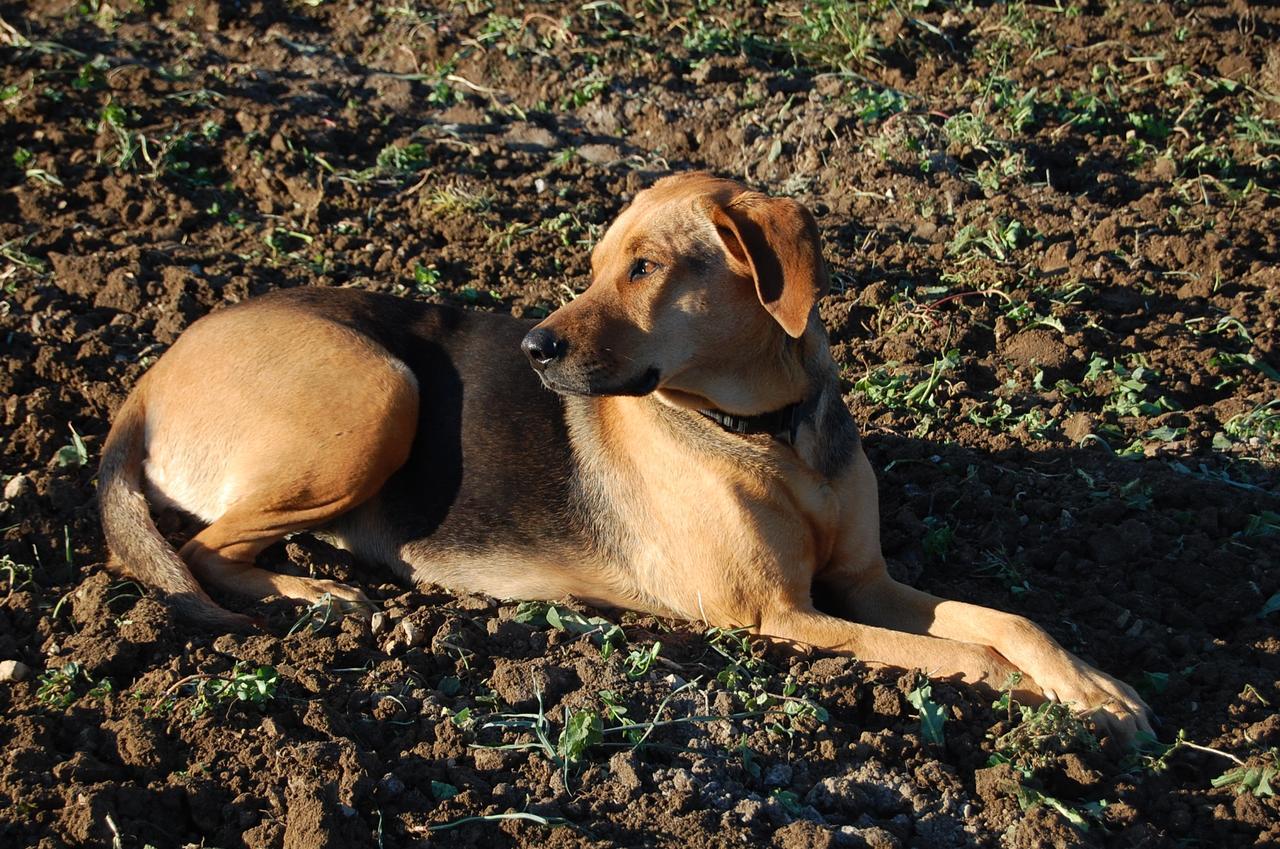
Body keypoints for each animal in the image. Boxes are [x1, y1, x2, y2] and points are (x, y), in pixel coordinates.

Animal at [99, 171, 1152, 737]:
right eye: (600, 264)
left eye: (645, 268)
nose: (533, 348)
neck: (769, 434)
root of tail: (150, 376)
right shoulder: (778, 614)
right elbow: (961, 652)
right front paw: (1023, 694)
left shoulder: (864, 580)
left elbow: (1010, 619)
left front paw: (1093, 689)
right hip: (380, 391)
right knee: (198, 552)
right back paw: (318, 596)